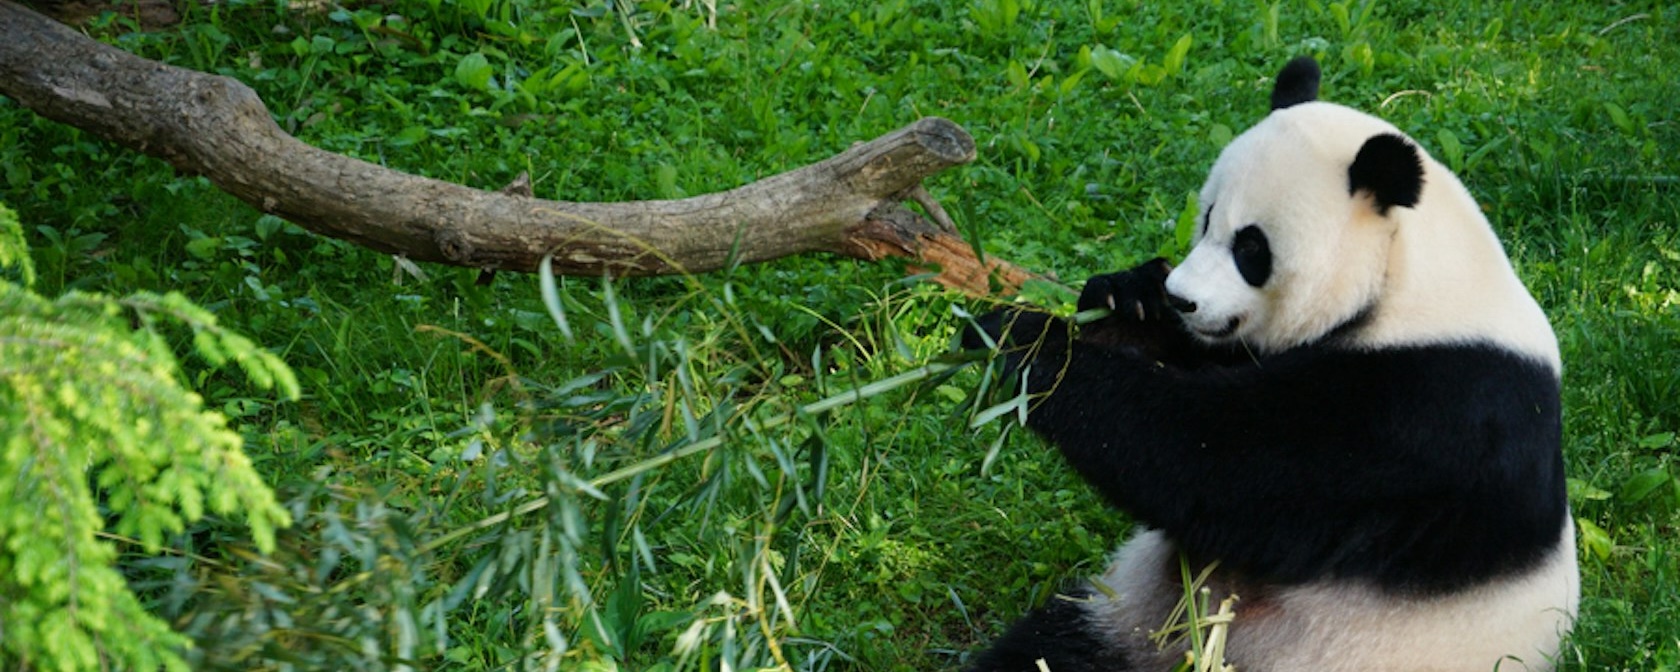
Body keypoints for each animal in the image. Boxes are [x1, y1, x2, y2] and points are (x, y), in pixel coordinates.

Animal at [960, 57, 1572, 672]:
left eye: (1251, 248)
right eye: (1206, 218)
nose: (1183, 299)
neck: (1408, 281)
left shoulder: (1434, 407)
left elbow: (1215, 463)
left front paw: (1020, 342)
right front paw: (1124, 297)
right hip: (1122, 617)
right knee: (1051, 649)